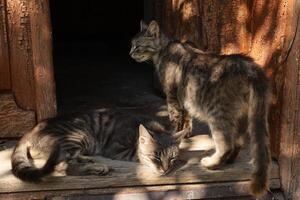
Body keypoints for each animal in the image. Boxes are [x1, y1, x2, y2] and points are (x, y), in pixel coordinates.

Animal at [11, 108, 188, 182]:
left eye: (171, 158)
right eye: (156, 157)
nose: (165, 170)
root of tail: (28, 133)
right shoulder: (116, 149)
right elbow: (136, 155)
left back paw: (89, 161)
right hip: (78, 135)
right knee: (62, 166)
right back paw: (96, 168)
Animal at [130, 20, 270, 197]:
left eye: (138, 46)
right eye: (131, 45)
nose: (130, 53)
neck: (164, 49)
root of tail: (250, 67)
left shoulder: (172, 97)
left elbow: (175, 121)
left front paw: (176, 135)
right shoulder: (186, 100)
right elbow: (187, 120)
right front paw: (186, 134)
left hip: (217, 115)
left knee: (227, 145)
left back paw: (211, 163)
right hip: (241, 116)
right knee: (238, 142)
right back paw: (228, 161)